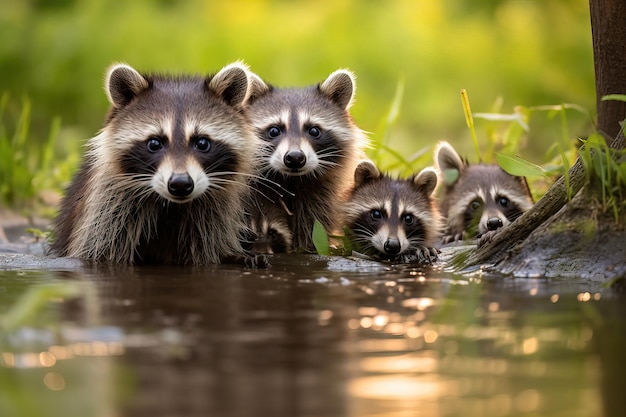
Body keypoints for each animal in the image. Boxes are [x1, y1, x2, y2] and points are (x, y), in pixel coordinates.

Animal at [50, 60, 262, 264]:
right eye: (154, 143)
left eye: (202, 143)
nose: (180, 183)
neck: (172, 206)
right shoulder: (107, 209)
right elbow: (101, 250)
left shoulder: (214, 215)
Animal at [245, 69, 366, 250]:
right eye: (274, 130)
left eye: (314, 131)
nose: (295, 158)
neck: (291, 180)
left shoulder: (322, 194)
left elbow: (312, 222)